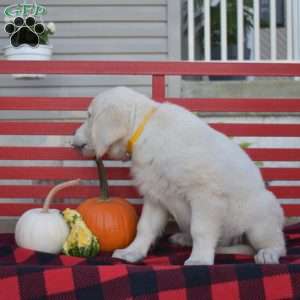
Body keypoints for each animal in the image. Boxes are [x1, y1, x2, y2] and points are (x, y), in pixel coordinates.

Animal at [72, 86, 286, 264]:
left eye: (89, 116)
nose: (73, 142)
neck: (146, 130)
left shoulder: (205, 195)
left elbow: (200, 229)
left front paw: (199, 260)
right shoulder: (155, 195)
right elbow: (145, 226)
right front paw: (132, 252)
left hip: (259, 220)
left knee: (277, 244)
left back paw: (268, 253)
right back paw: (183, 238)